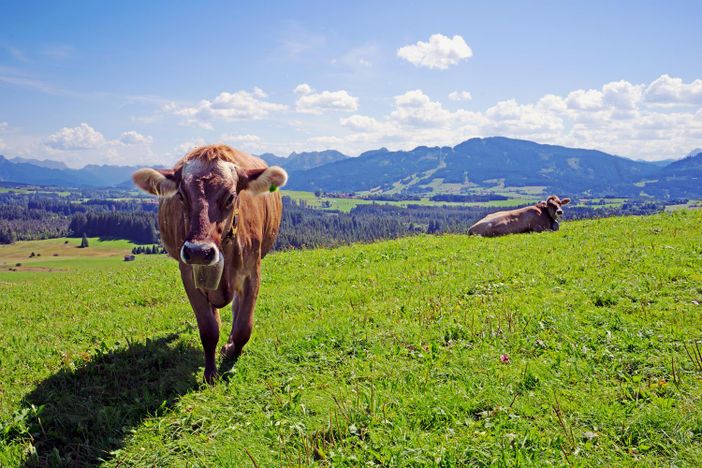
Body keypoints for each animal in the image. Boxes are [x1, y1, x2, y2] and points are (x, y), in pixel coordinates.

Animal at [133, 144, 288, 382]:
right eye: (181, 195)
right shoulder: (189, 275)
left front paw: (231, 351)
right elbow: (208, 329)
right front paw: (210, 373)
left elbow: (244, 327)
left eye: (231, 197)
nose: (199, 251)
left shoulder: (252, 273)